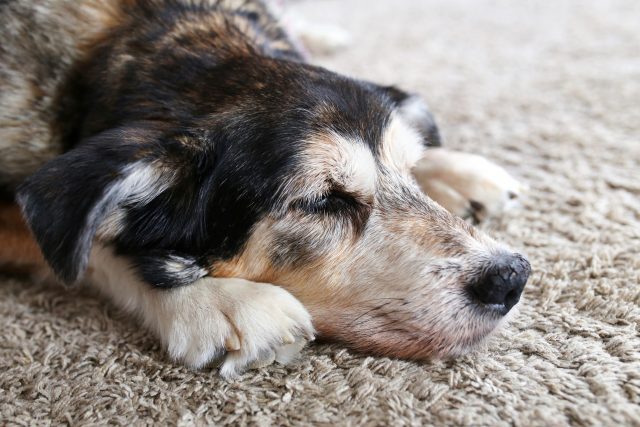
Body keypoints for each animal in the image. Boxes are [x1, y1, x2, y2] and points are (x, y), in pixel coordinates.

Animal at [0, 0, 528, 378]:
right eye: (323, 201)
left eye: (409, 171)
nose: (512, 277)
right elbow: (87, 245)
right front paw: (216, 301)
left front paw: (450, 167)